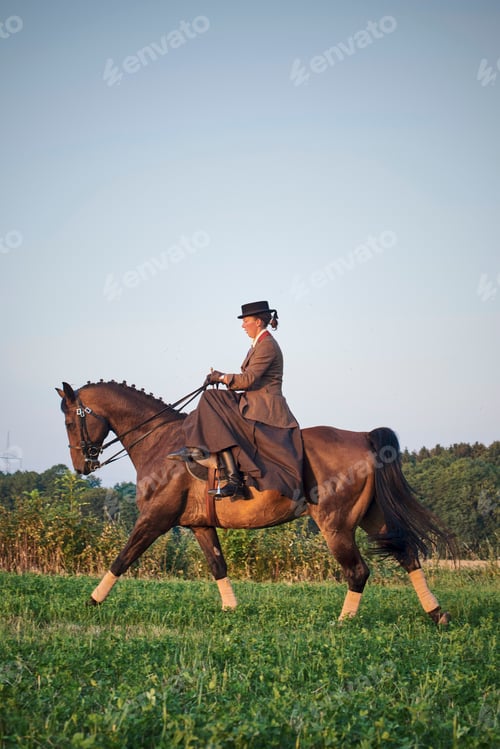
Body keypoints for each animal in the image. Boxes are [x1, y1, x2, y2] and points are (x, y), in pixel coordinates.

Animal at [57, 380, 455, 624]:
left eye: (70, 421)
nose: (81, 466)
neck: (161, 441)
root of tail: (363, 438)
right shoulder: (200, 525)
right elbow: (218, 565)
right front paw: (231, 609)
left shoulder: (154, 519)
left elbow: (122, 558)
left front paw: (91, 602)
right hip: (372, 517)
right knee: (406, 552)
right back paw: (437, 614)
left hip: (336, 524)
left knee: (358, 571)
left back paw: (342, 622)